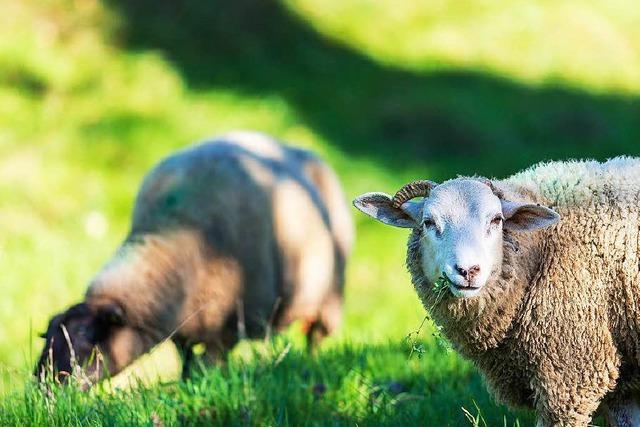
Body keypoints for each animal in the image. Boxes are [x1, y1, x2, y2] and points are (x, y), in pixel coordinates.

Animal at [35, 130, 356, 384]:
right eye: (48, 337)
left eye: (89, 337)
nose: (44, 389)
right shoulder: (184, 327)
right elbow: (187, 360)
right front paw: (186, 383)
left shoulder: (231, 326)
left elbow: (213, 362)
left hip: (330, 296)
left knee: (315, 338)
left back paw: (311, 364)